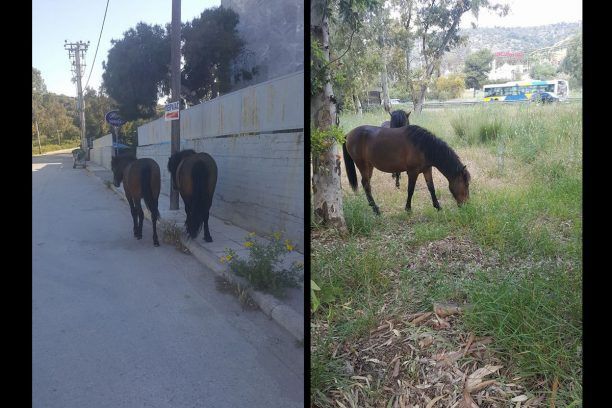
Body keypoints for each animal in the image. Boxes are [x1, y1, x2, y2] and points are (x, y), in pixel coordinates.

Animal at [342, 124, 470, 215]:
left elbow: (431, 188)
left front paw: (437, 206)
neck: (423, 146)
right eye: (466, 184)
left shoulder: (427, 170)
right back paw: (376, 209)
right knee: (366, 184)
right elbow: (411, 190)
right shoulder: (413, 172)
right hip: (362, 165)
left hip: (369, 166)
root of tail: (348, 134)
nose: (466, 205)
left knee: (366, 183)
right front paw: (408, 209)